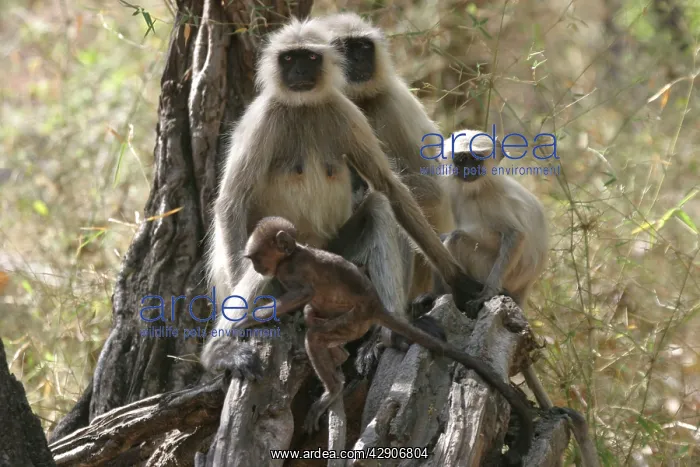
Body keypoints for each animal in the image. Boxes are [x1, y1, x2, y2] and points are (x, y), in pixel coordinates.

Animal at [243, 216, 534, 465]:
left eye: (256, 257)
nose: (256, 267)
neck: (292, 254)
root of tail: (376, 306)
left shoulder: (291, 271)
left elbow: (302, 293)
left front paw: (244, 322)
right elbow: (305, 303)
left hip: (355, 320)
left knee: (316, 332)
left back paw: (333, 386)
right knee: (313, 316)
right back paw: (338, 358)